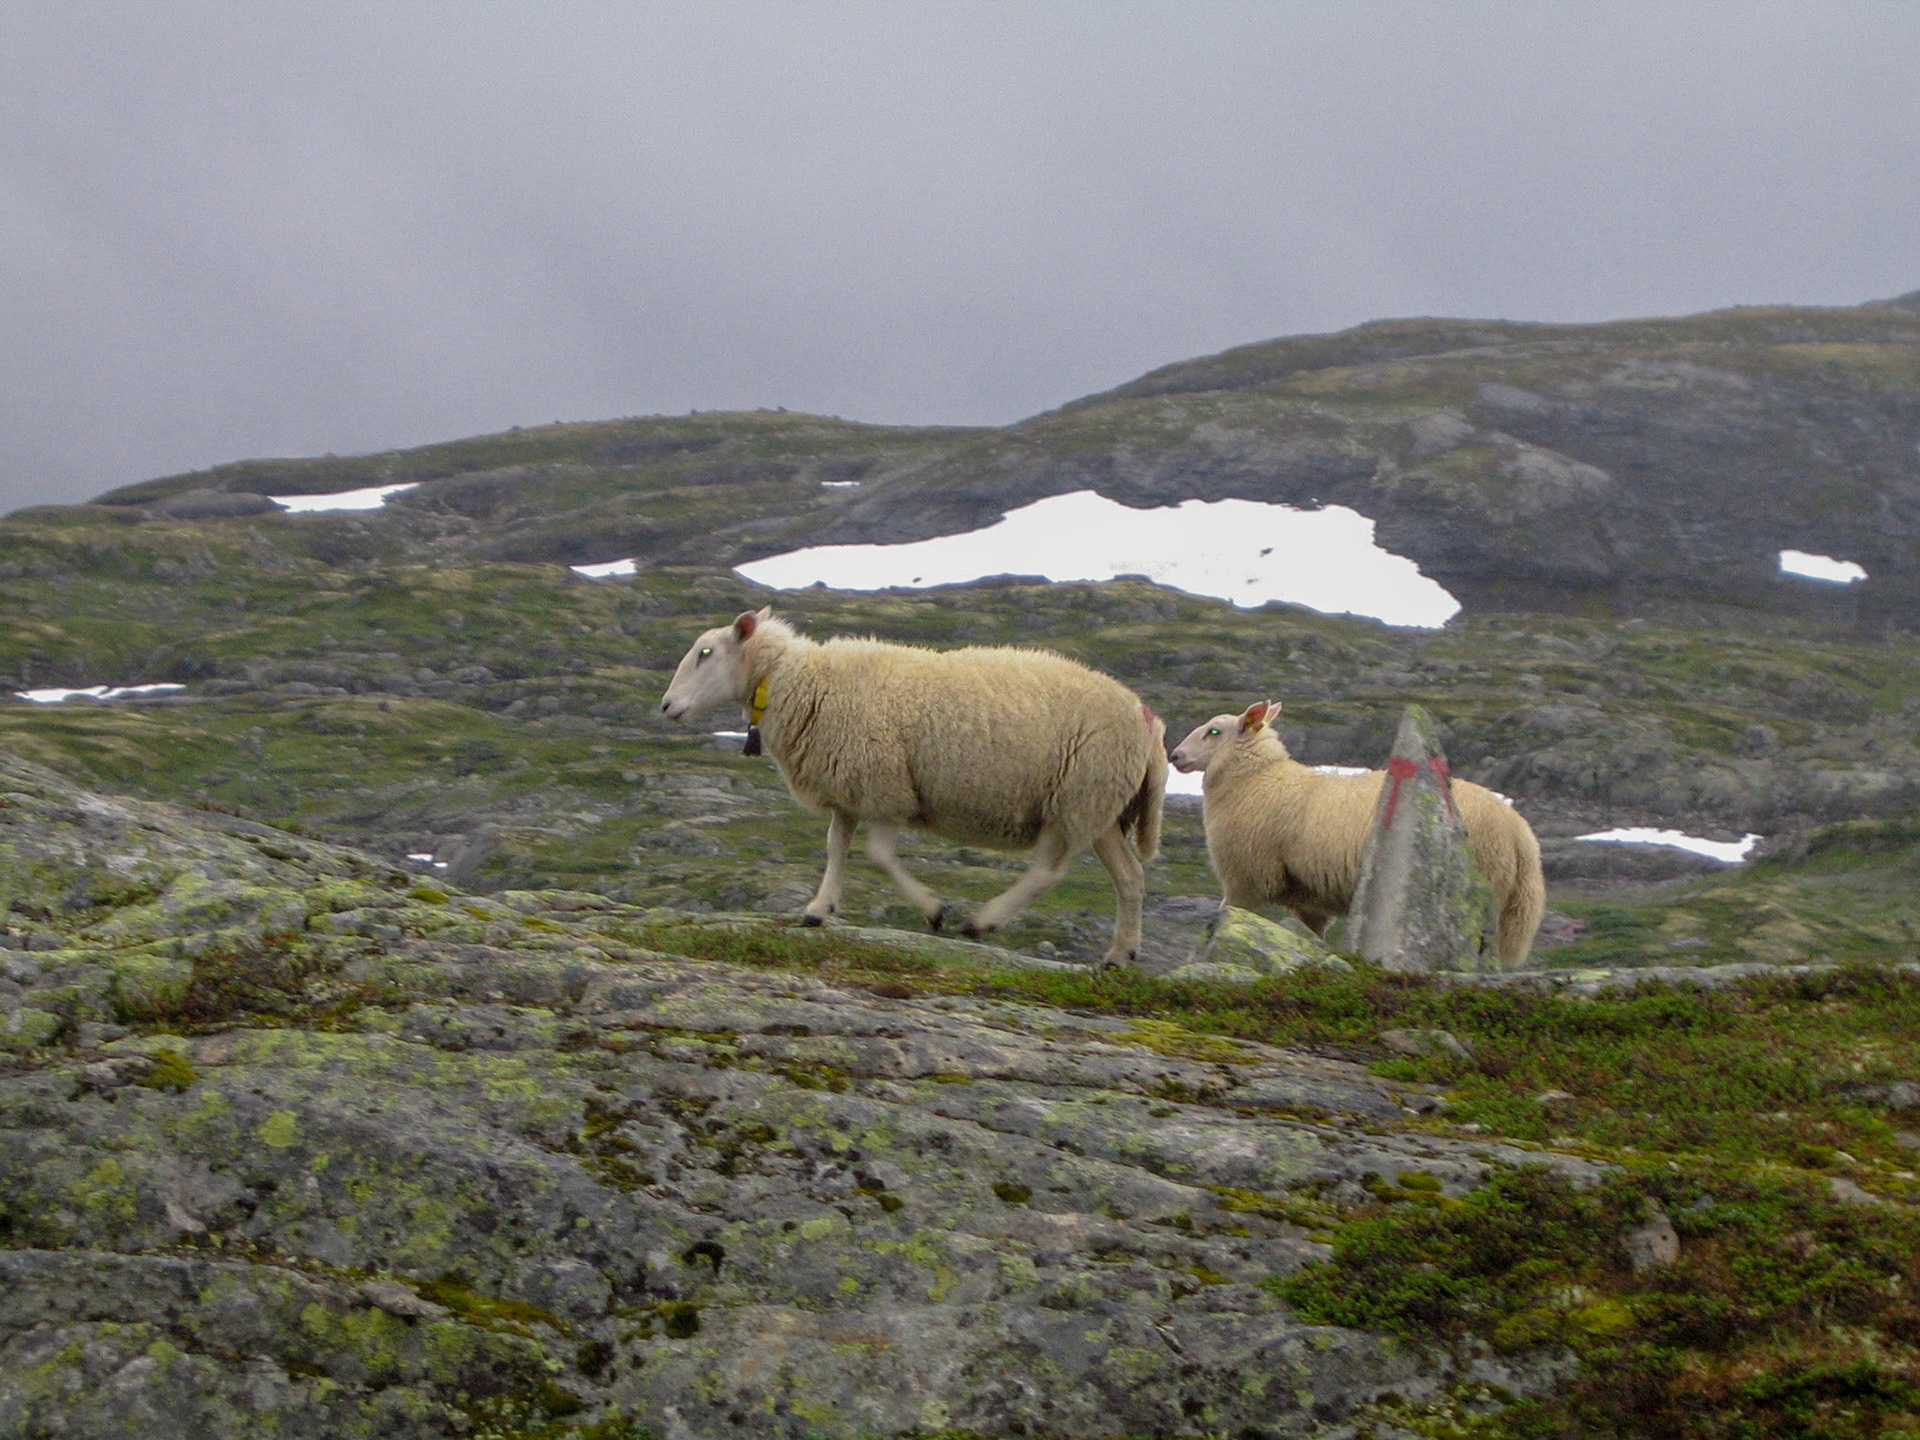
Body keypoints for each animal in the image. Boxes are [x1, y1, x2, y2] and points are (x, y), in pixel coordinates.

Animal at [660, 610, 1167, 971]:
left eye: (705, 652)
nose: (666, 706)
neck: (799, 681)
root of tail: (1147, 719)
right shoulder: (850, 790)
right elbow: (835, 848)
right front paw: (818, 909)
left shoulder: (886, 789)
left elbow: (880, 856)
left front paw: (933, 910)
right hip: (1102, 807)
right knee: (1130, 878)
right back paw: (1120, 954)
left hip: (1076, 797)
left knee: (1048, 871)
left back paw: (981, 921)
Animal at [1167, 702, 1543, 963]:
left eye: (1214, 731)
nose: (1175, 755)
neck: (1257, 778)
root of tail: (1520, 831)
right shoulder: (1310, 901)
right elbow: (1312, 933)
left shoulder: (1245, 879)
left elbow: (1225, 918)